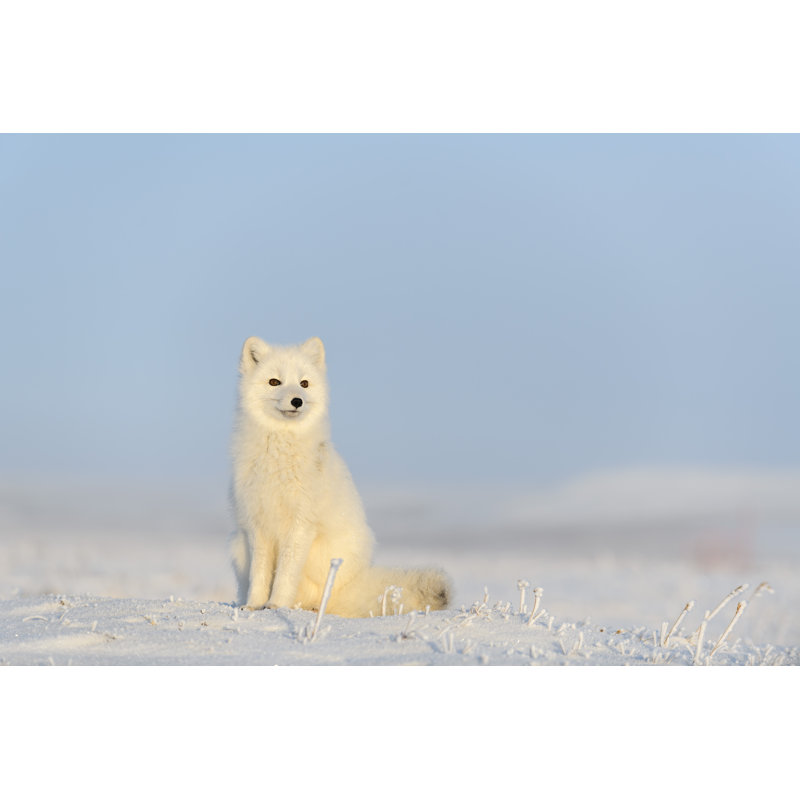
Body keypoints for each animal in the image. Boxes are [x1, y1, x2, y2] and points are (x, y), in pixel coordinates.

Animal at [229, 336, 452, 617]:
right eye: (274, 382)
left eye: (304, 383)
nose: (297, 400)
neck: (280, 455)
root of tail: (354, 584)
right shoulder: (257, 524)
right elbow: (259, 574)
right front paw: (254, 605)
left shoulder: (301, 524)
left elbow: (285, 574)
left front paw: (277, 604)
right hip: (237, 546)